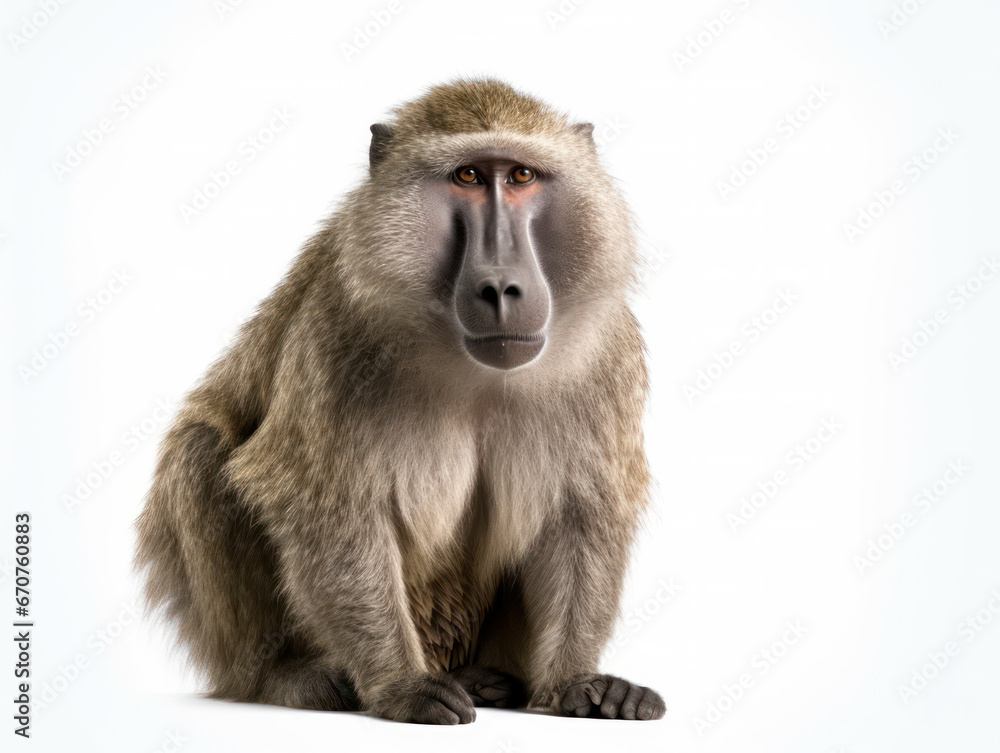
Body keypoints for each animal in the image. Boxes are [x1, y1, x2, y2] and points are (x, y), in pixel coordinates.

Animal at [135, 78, 665, 724]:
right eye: (467, 176)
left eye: (521, 176)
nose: (502, 287)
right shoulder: (339, 334)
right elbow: (329, 506)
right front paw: (400, 684)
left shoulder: (606, 353)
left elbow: (580, 514)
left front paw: (573, 680)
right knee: (200, 452)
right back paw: (288, 676)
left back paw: (487, 680)